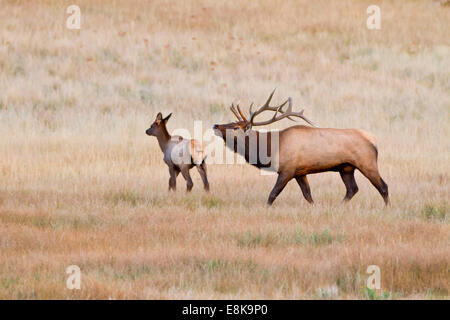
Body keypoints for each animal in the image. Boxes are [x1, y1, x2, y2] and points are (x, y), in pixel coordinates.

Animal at [213, 89, 388, 205]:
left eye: (236, 127)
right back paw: (340, 206)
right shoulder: (300, 172)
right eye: (231, 122)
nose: (215, 125)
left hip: (367, 162)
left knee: (383, 186)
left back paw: (386, 207)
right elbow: (308, 195)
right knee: (352, 189)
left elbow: (272, 194)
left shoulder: (287, 169)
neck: (270, 149)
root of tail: (374, 140)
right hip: (346, 168)